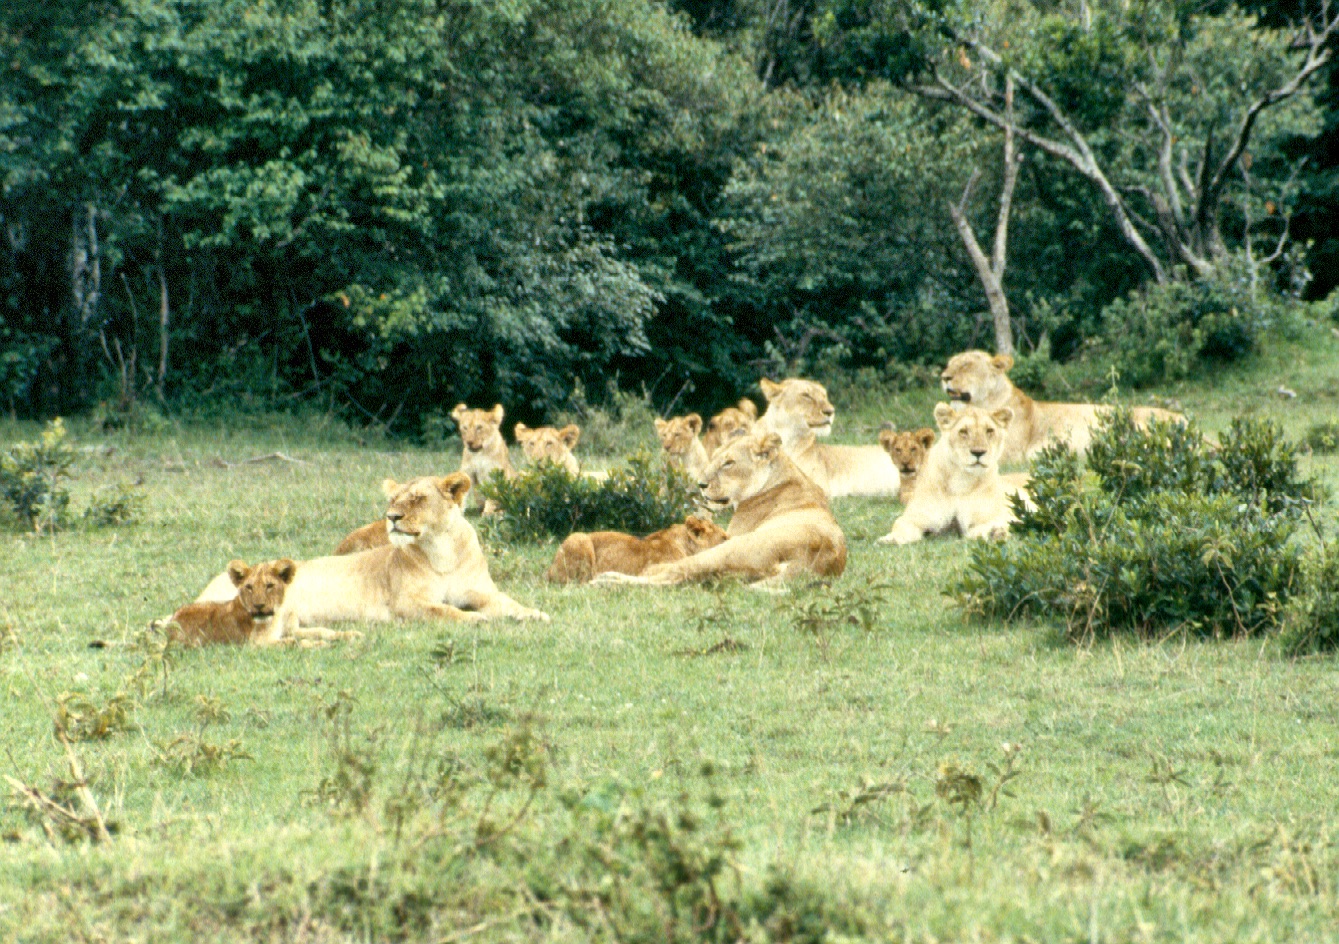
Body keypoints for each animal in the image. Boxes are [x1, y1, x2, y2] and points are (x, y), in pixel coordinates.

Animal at [198, 474, 548, 640]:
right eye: (393, 500)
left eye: (417, 499)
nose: (391, 517)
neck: (441, 549)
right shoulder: (407, 602)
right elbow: (444, 611)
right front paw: (474, 618)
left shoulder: (483, 592)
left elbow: (510, 604)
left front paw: (536, 615)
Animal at [594, 432, 846, 585]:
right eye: (714, 457)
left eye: (729, 463)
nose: (701, 484)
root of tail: (813, 562)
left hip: (730, 548)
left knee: (674, 574)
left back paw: (610, 580)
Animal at [878, 404, 1019, 545]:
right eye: (963, 431)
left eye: (989, 430)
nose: (978, 452)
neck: (960, 481)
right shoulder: (914, 517)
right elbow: (900, 527)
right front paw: (889, 539)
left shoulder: (995, 516)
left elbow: (980, 530)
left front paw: (995, 533)